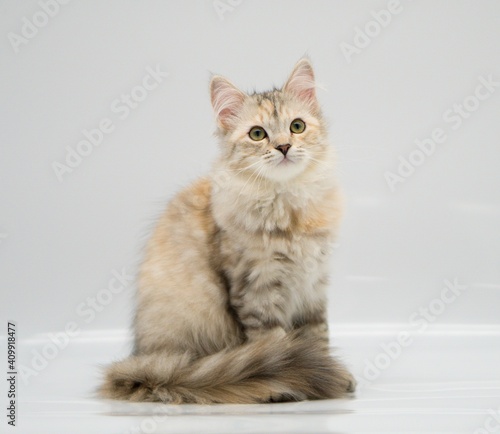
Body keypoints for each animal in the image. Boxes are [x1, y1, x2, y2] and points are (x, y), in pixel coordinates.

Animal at [98, 57, 356, 404]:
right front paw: (293, 381)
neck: (287, 205)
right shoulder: (256, 289)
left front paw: (331, 375)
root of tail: (145, 364)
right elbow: (276, 342)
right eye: (258, 134)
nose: (284, 147)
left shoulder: (312, 287)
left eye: (297, 126)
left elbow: (318, 337)